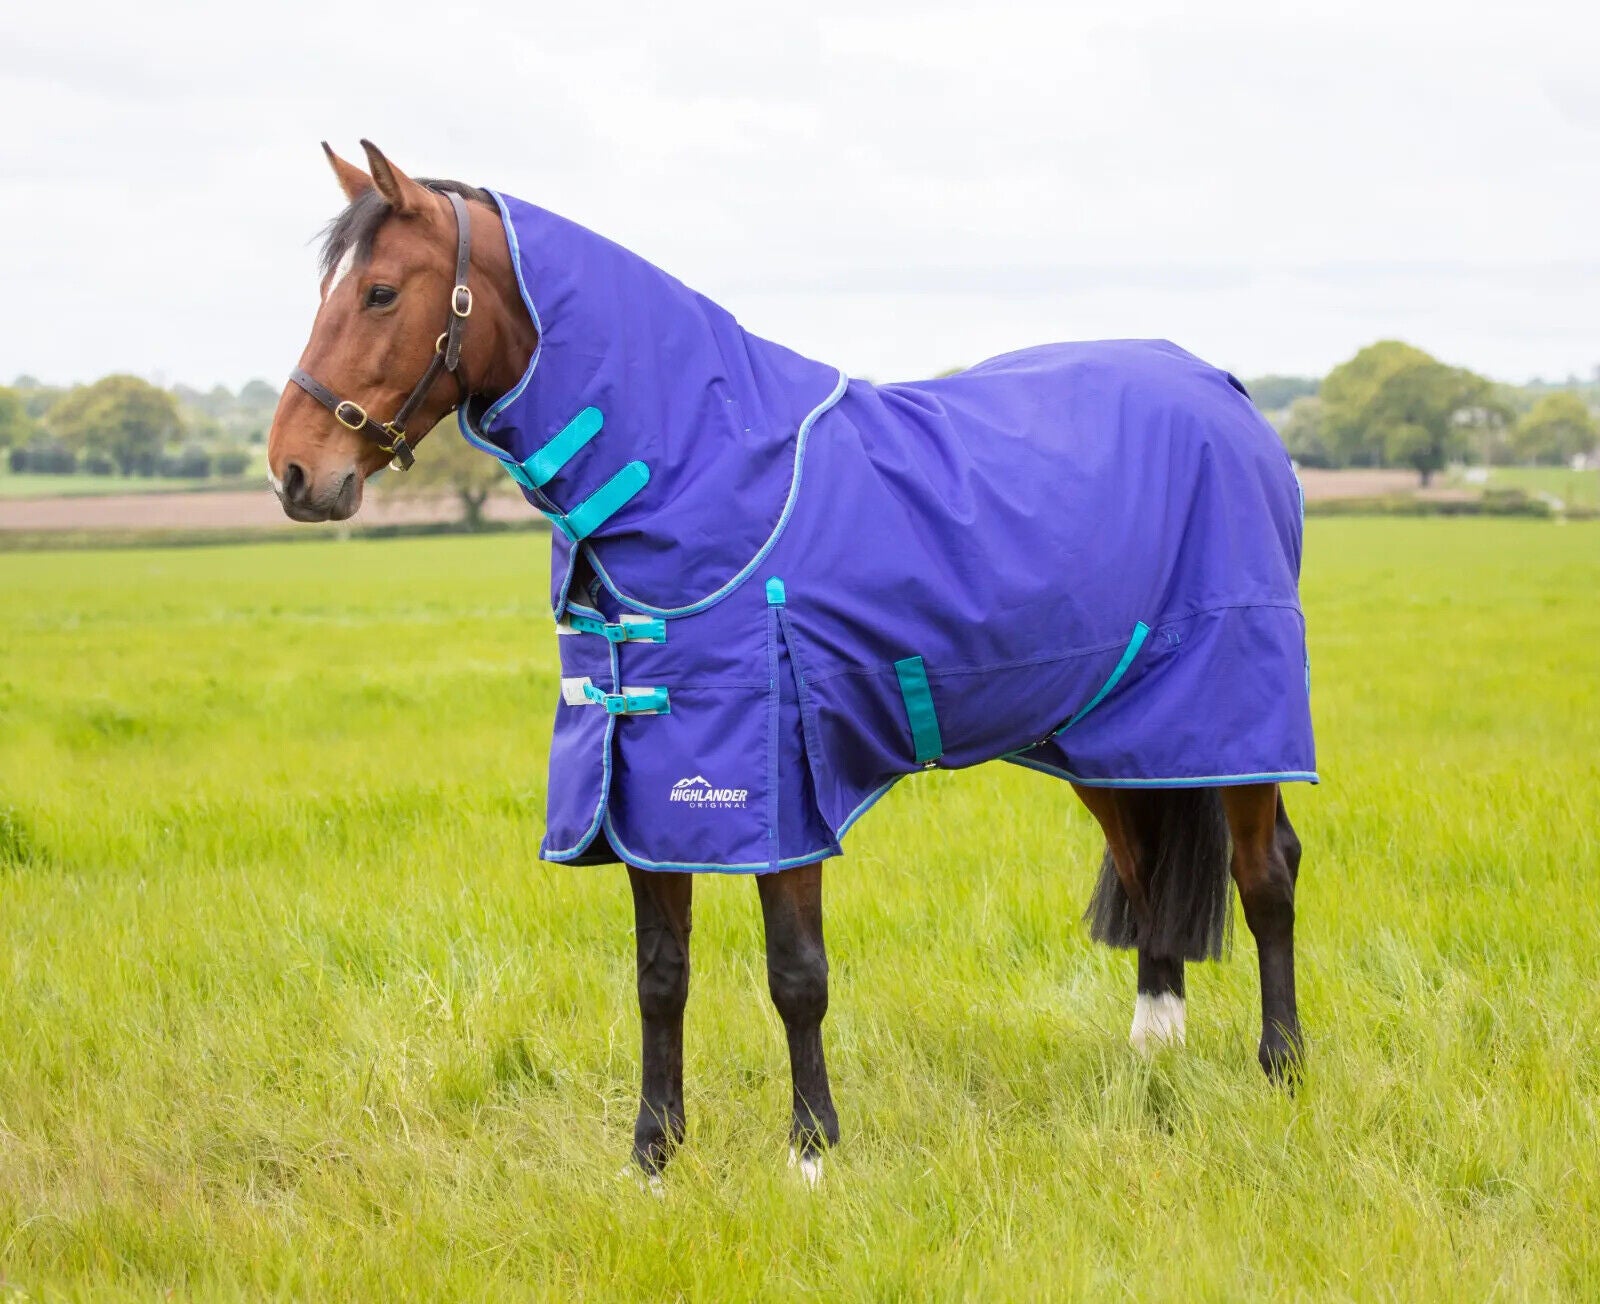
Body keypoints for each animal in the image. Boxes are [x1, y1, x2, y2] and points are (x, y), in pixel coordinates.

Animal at [267, 141, 1312, 1183]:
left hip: (1235, 716)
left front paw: (812, 1153)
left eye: (381, 292)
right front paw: (654, 1158)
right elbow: (660, 976)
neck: (703, 472)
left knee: (1266, 874)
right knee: (1146, 869)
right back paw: (1153, 1059)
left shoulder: (778, 787)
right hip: (1110, 735)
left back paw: (1283, 1069)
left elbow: (796, 975)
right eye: (325, 290)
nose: (293, 471)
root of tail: (1222, 388)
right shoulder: (643, 789)